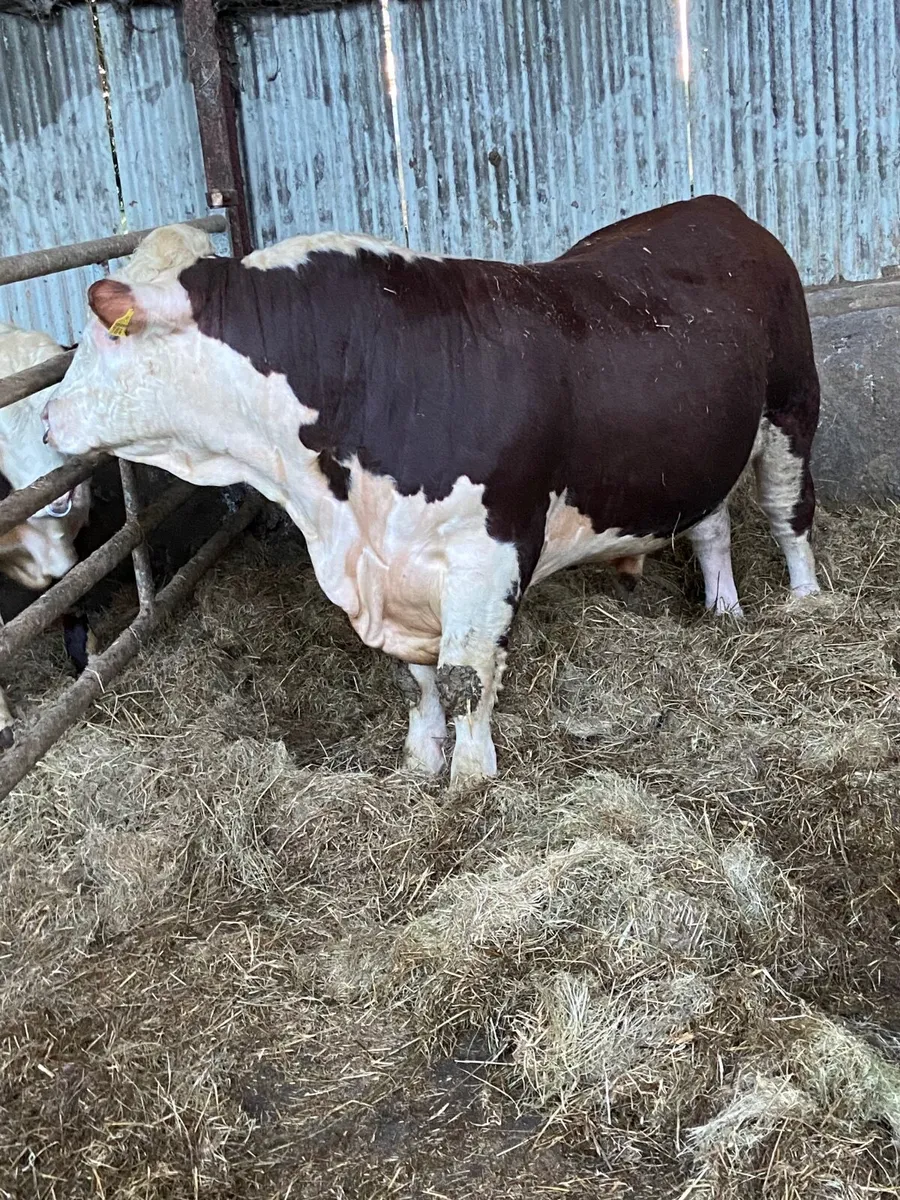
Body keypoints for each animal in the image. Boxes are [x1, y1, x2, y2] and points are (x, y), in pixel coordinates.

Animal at [43, 197, 821, 785]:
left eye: (105, 334)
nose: (48, 417)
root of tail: (715, 209)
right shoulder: (388, 573)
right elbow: (414, 680)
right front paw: (421, 761)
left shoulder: (489, 553)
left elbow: (465, 675)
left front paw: (471, 780)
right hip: (703, 452)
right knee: (712, 525)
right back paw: (723, 609)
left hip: (791, 410)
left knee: (788, 514)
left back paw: (808, 604)